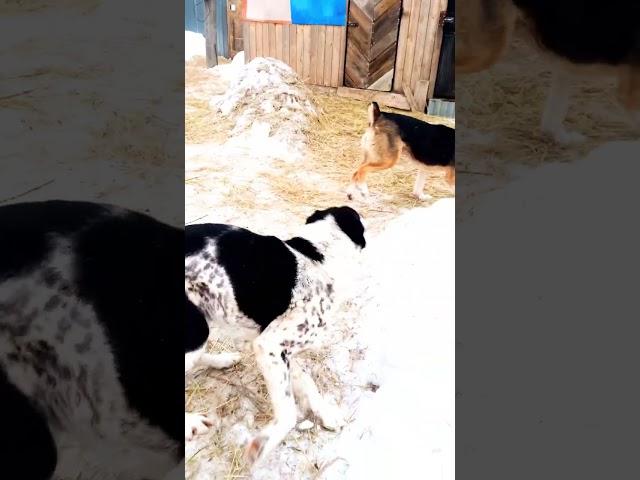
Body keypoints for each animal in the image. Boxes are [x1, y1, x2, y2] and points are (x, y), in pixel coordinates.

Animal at [182, 205, 368, 464]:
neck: (315, 257)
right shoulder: (269, 345)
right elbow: (288, 412)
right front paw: (263, 443)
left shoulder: (281, 350)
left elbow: (307, 383)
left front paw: (327, 413)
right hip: (195, 328)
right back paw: (190, 422)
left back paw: (223, 360)